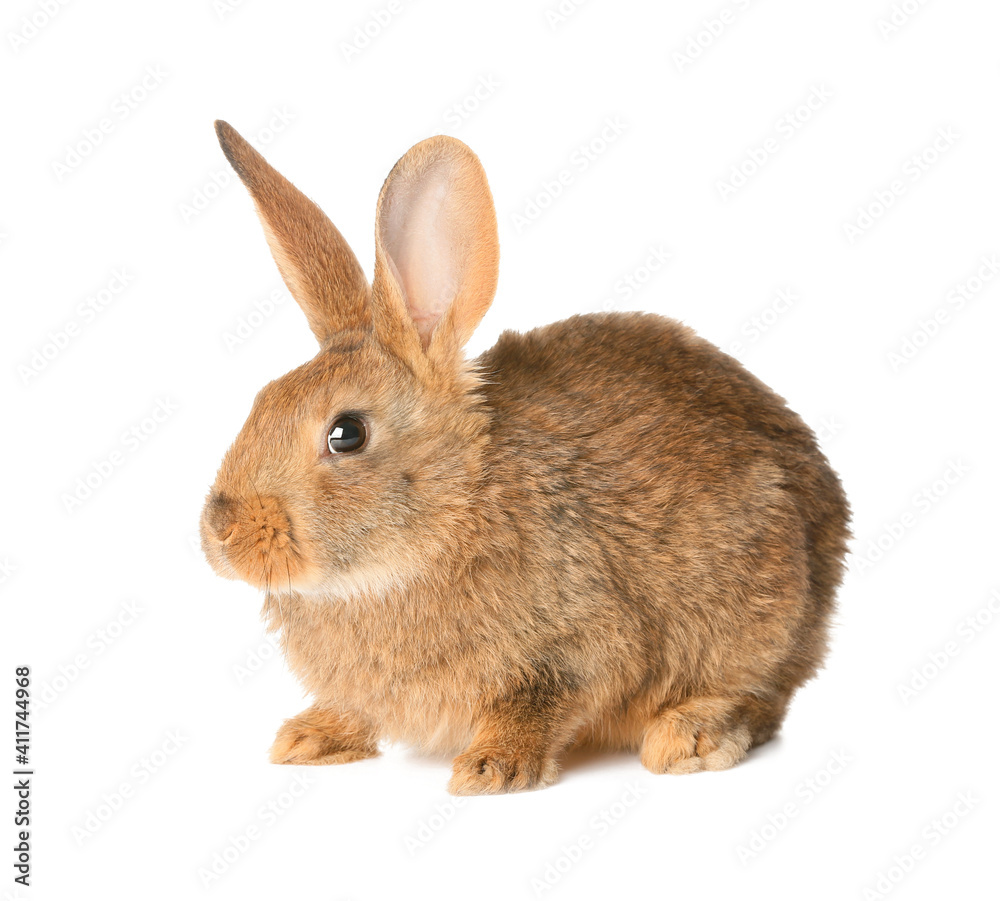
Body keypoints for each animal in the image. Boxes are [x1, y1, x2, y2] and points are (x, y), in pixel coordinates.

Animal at [201, 121, 852, 796]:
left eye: (346, 434)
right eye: (261, 400)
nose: (221, 531)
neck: (454, 509)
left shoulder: (585, 642)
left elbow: (539, 702)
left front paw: (492, 768)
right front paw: (308, 738)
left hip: (766, 613)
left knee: (762, 695)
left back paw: (689, 736)